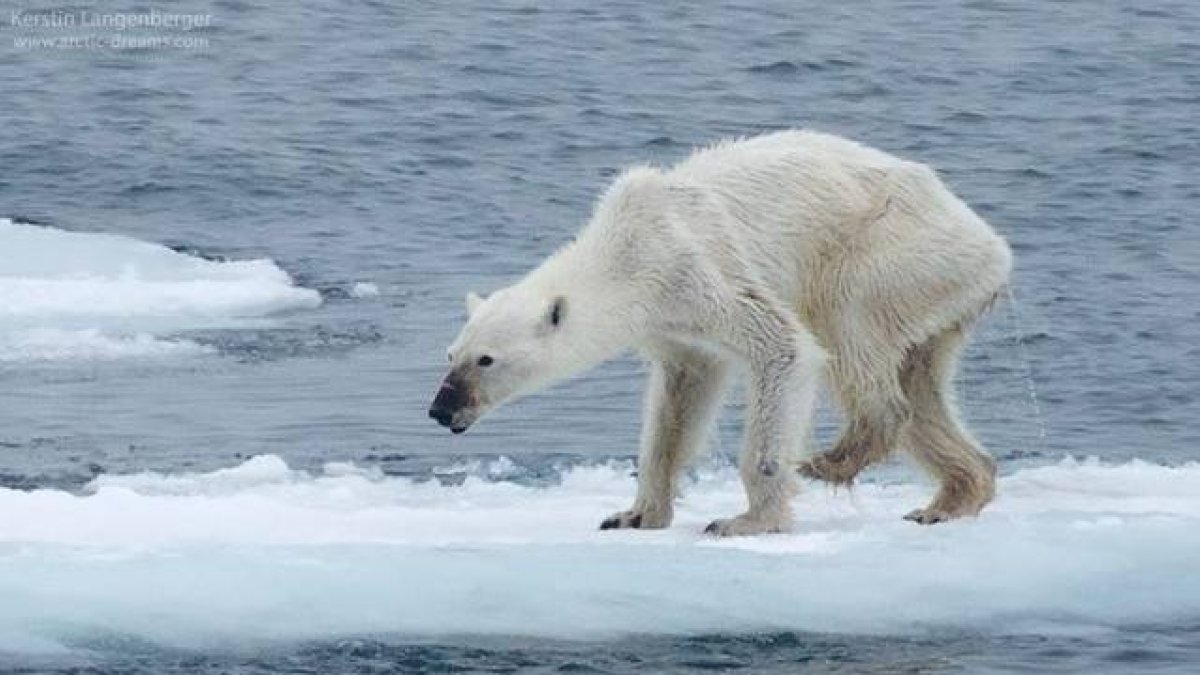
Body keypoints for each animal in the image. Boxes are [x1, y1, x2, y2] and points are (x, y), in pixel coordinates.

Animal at [428, 130, 1011, 536]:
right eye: (450, 354)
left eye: (486, 360)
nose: (440, 409)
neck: (625, 251)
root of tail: (993, 246)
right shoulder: (671, 324)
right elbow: (680, 400)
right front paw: (634, 514)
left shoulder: (694, 268)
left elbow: (784, 347)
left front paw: (746, 520)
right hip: (937, 295)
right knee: (922, 385)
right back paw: (951, 498)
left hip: (890, 252)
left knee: (850, 329)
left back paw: (833, 458)